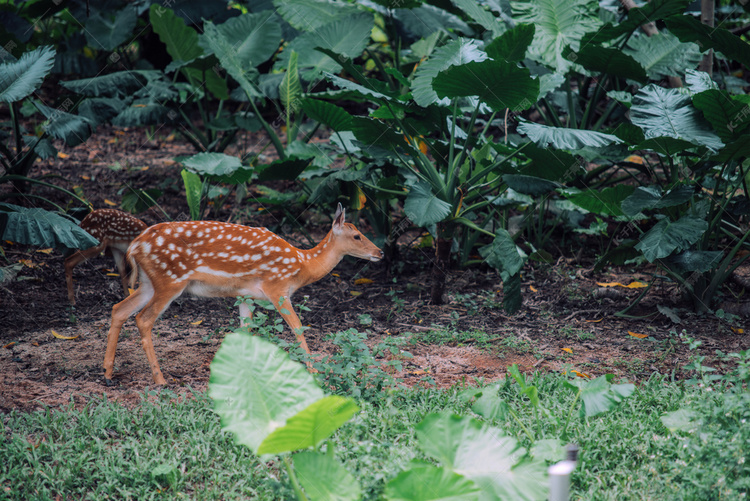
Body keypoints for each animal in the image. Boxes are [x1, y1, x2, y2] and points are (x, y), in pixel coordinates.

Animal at [103, 202, 384, 382]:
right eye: (357, 236)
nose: (380, 252)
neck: (302, 265)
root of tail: (135, 246)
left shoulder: (245, 295)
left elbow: (245, 331)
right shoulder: (277, 287)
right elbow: (297, 327)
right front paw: (314, 372)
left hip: (149, 283)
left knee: (119, 309)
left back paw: (107, 373)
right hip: (170, 280)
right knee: (143, 319)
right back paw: (160, 379)